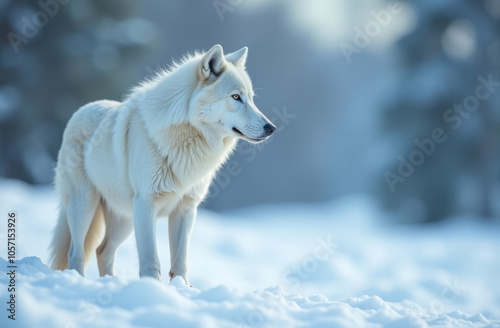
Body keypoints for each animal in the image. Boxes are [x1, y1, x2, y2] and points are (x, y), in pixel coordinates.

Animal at [50, 44, 276, 284]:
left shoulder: (186, 209)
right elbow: (151, 261)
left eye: (251, 98)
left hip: (125, 218)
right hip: (85, 205)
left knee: (102, 251)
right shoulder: (147, 204)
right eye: (235, 97)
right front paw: (151, 287)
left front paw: (181, 288)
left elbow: (180, 262)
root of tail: (80, 110)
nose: (271, 128)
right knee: (76, 252)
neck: (186, 139)